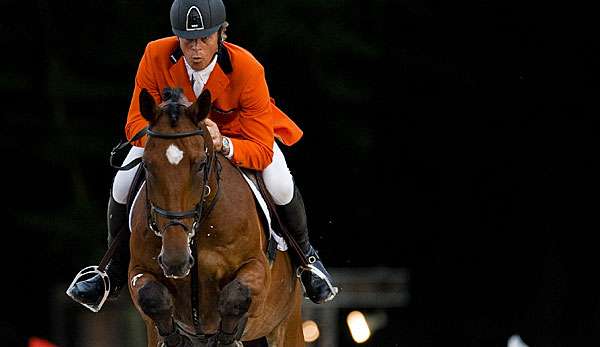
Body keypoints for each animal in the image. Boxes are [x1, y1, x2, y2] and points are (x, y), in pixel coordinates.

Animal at [127, 87, 304, 347]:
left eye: (201, 164)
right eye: (147, 165)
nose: (175, 260)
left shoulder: (257, 266)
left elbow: (236, 295)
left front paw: (226, 338)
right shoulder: (138, 270)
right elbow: (152, 296)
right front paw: (176, 338)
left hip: (287, 324)